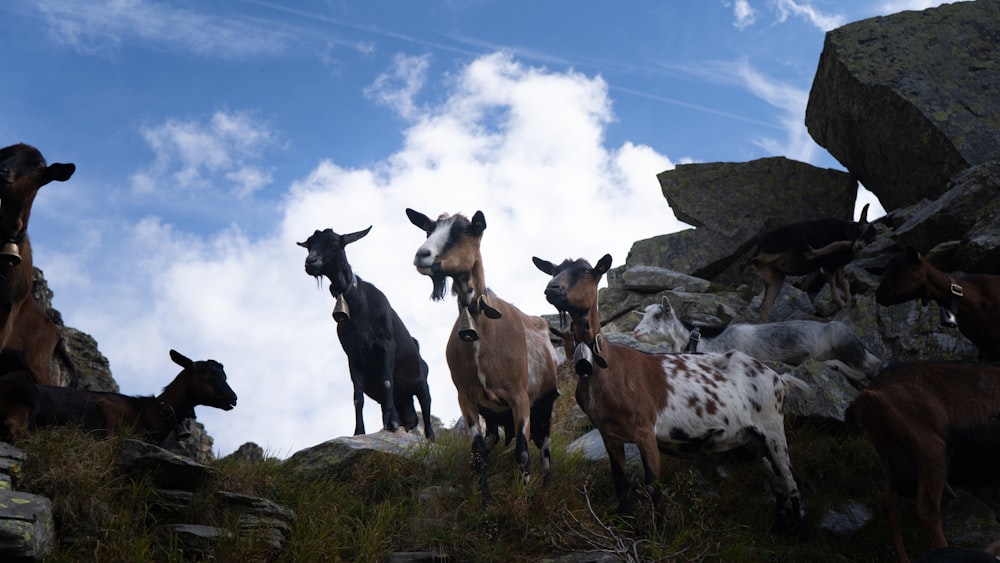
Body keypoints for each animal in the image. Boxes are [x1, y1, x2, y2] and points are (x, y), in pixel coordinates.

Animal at [298, 226, 436, 440]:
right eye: (309, 245)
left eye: (335, 242)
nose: (310, 263)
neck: (358, 305)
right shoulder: (353, 356)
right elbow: (357, 396)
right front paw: (359, 431)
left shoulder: (385, 345)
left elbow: (387, 381)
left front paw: (392, 423)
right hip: (403, 400)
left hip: (423, 384)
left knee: (427, 414)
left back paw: (428, 437)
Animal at [536, 253, 808, 536]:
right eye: (553, 271)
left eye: (589, 272)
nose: (552, 288)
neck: (605, 366)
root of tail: (779, 378)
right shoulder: (609, 433)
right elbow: (619, 480)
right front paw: (624, 523)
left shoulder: (645, 430)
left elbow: (653, 485)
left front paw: (658, 533)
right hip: (751, 440)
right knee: (778, 483)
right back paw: (777, 528)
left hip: (773, 427)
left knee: (791, 481)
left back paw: (800, 532)